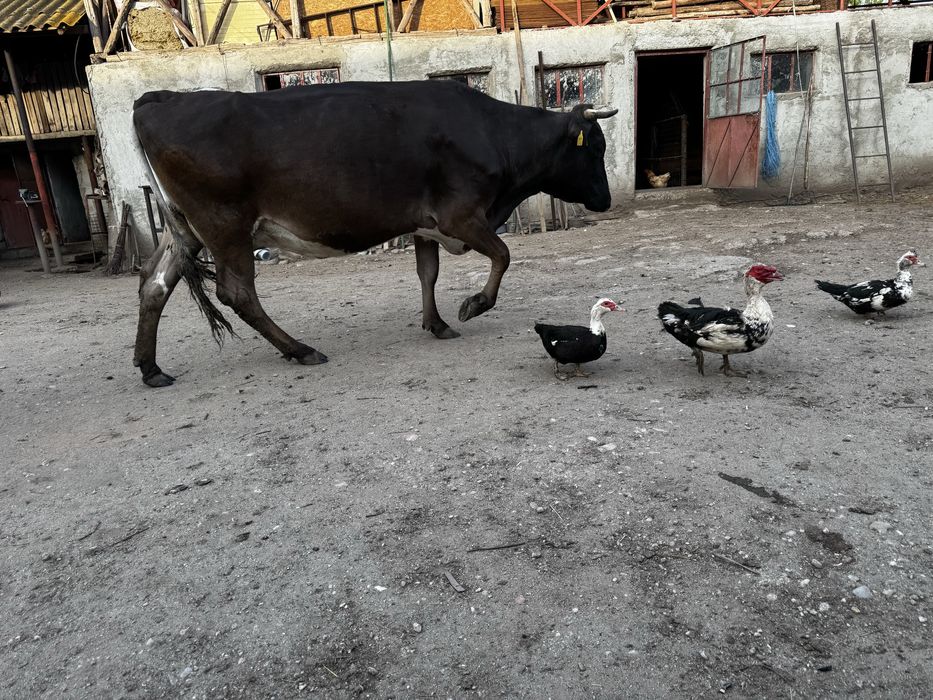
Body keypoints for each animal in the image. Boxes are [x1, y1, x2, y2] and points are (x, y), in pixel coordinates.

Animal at [132, 80, 617, 387]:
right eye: (595, 146)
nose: (606, 200)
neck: (493, 134)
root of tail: (160, 99)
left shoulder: (424, 224)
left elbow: (427, 273)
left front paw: (436, 323)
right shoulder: (459, 216)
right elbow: (502, 255)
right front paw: (472, 306)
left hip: (184, 229)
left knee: (154, 284)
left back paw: (150, 368)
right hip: (225, 224)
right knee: (237, 293)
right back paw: (300, 349)